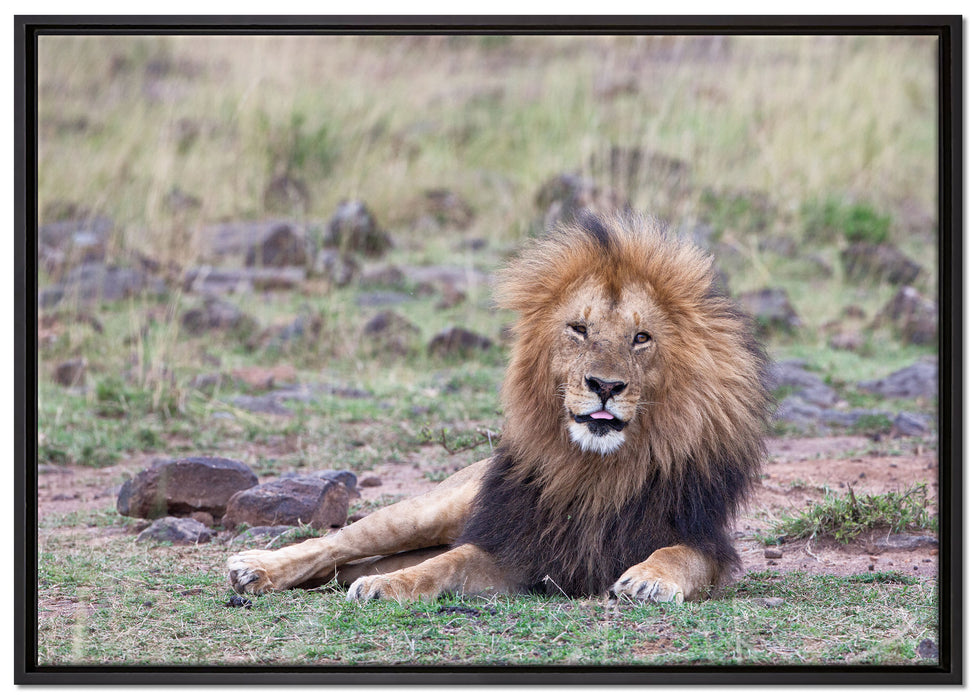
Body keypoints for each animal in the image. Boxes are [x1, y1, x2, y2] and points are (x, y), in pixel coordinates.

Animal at [228, 212, 769, 603]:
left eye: (641, 338)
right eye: (579, 329)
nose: (605, 385)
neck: (595, 471)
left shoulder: (703, 537)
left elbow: (681, 555)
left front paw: (649, 578)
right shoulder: (517, 543)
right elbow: (443, 563)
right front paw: (389, 586)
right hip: (432, 507)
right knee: (340, 542)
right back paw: (254, 567)